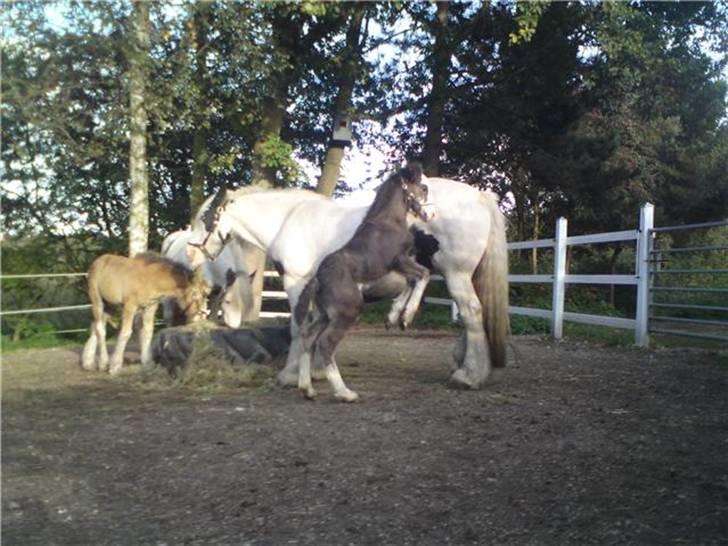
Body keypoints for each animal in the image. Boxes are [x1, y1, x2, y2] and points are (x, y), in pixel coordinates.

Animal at [185, 176, 510, 388]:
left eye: (205, 218)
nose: (190, 252)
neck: (287, 220)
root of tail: (480, 197)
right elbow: (316, 325)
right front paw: (315, 371)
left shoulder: (296, 282)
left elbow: (298, 326)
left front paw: (291, 374)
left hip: (456, 273)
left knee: (471, 313)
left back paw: (469, 375)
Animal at [296, 162, 432, 400]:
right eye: (423, 187)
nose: (429, 212)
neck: (389, 221)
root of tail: (318, 279)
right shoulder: (399, 260)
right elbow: (424, 275)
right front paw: (407, 316)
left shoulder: (399, 267)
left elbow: (410, 282)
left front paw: (394, 317)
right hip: (348, 311)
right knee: (325, 343)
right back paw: (344, 392)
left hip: (325, 314)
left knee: (308, 337)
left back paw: (307, 389)